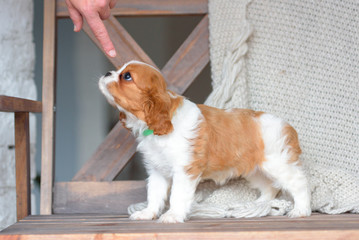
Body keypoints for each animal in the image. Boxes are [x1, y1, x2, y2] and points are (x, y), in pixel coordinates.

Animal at [98, 60, 312, 223]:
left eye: (127, 76)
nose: (106, 72)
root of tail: (286, 125)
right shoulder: (157, 171)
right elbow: (154, 194)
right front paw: (147, 213)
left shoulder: (184, 170)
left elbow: (177, 195)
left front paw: (173, 215)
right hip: (255, 170)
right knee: (269, 188)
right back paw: (258, 206)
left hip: (279, 163)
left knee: (299, 183)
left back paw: (301, 210)